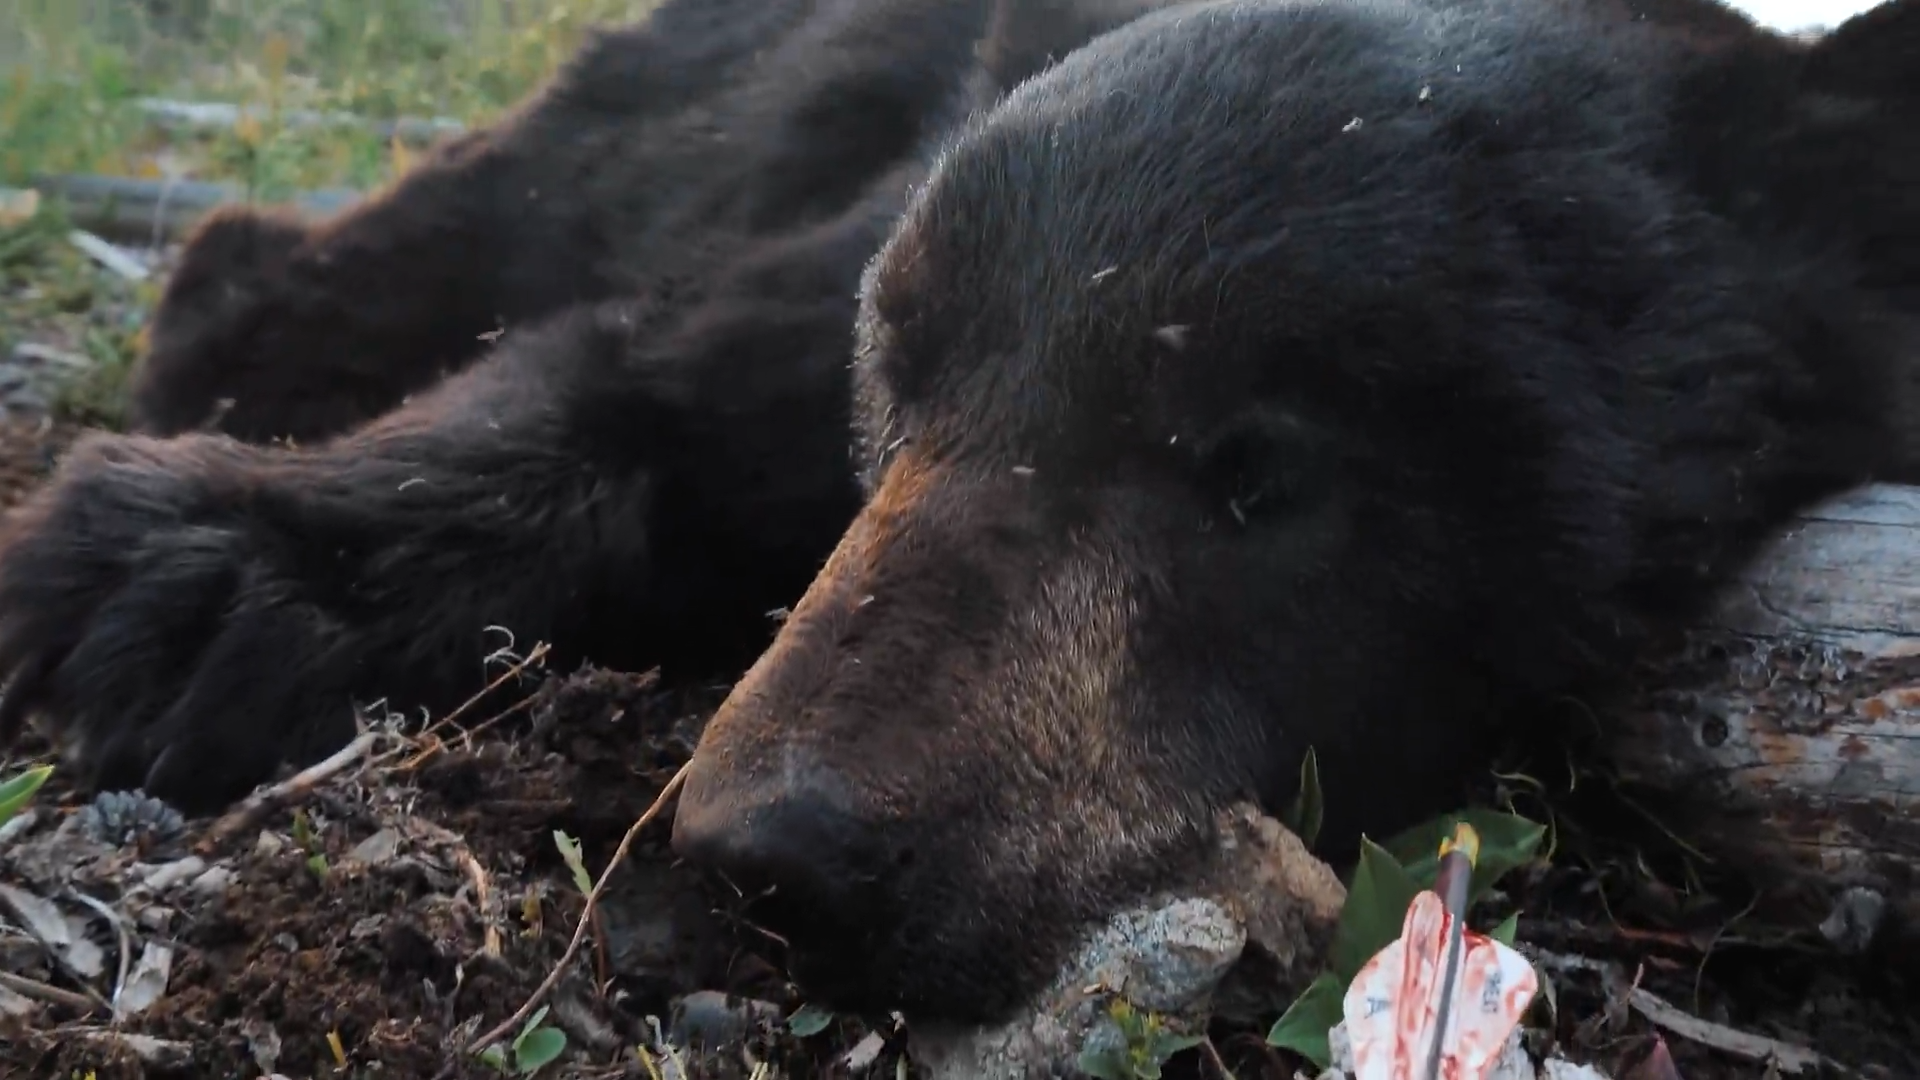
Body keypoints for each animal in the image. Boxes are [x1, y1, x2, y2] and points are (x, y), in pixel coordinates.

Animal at [2, 0, 1916, 1027]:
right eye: (898, 368)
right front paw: (177, 576)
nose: (771, 848)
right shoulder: (842, 230)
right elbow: (621, 377)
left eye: (1260, 463)